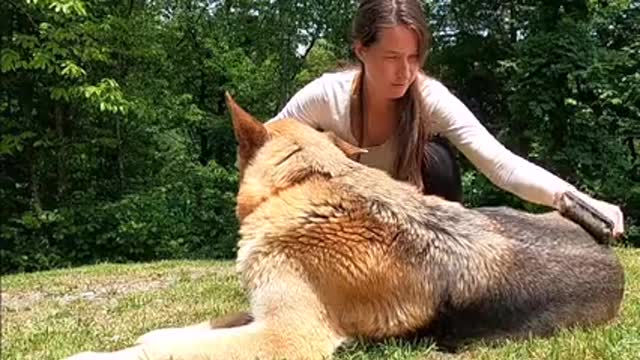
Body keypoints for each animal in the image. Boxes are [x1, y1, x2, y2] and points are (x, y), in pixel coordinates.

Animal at [66, 93, 624, 360]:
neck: (307, 183)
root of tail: (614, 260)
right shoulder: (262, 313)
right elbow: (190, 330)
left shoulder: (286, 337)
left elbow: (171, 349)